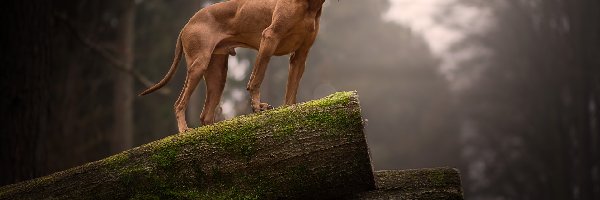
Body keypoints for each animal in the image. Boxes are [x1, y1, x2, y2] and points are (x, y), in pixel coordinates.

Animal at [138, 0, 326, 133]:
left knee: (205, 115)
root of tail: (187, 25)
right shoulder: (269, 38)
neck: (311, 4)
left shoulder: (300, 55)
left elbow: (291, 92)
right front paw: (257, 106)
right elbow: (256, 79)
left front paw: (288, 110)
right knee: (179, 103)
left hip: (217, 74)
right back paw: (184, 130)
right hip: (199, 64)